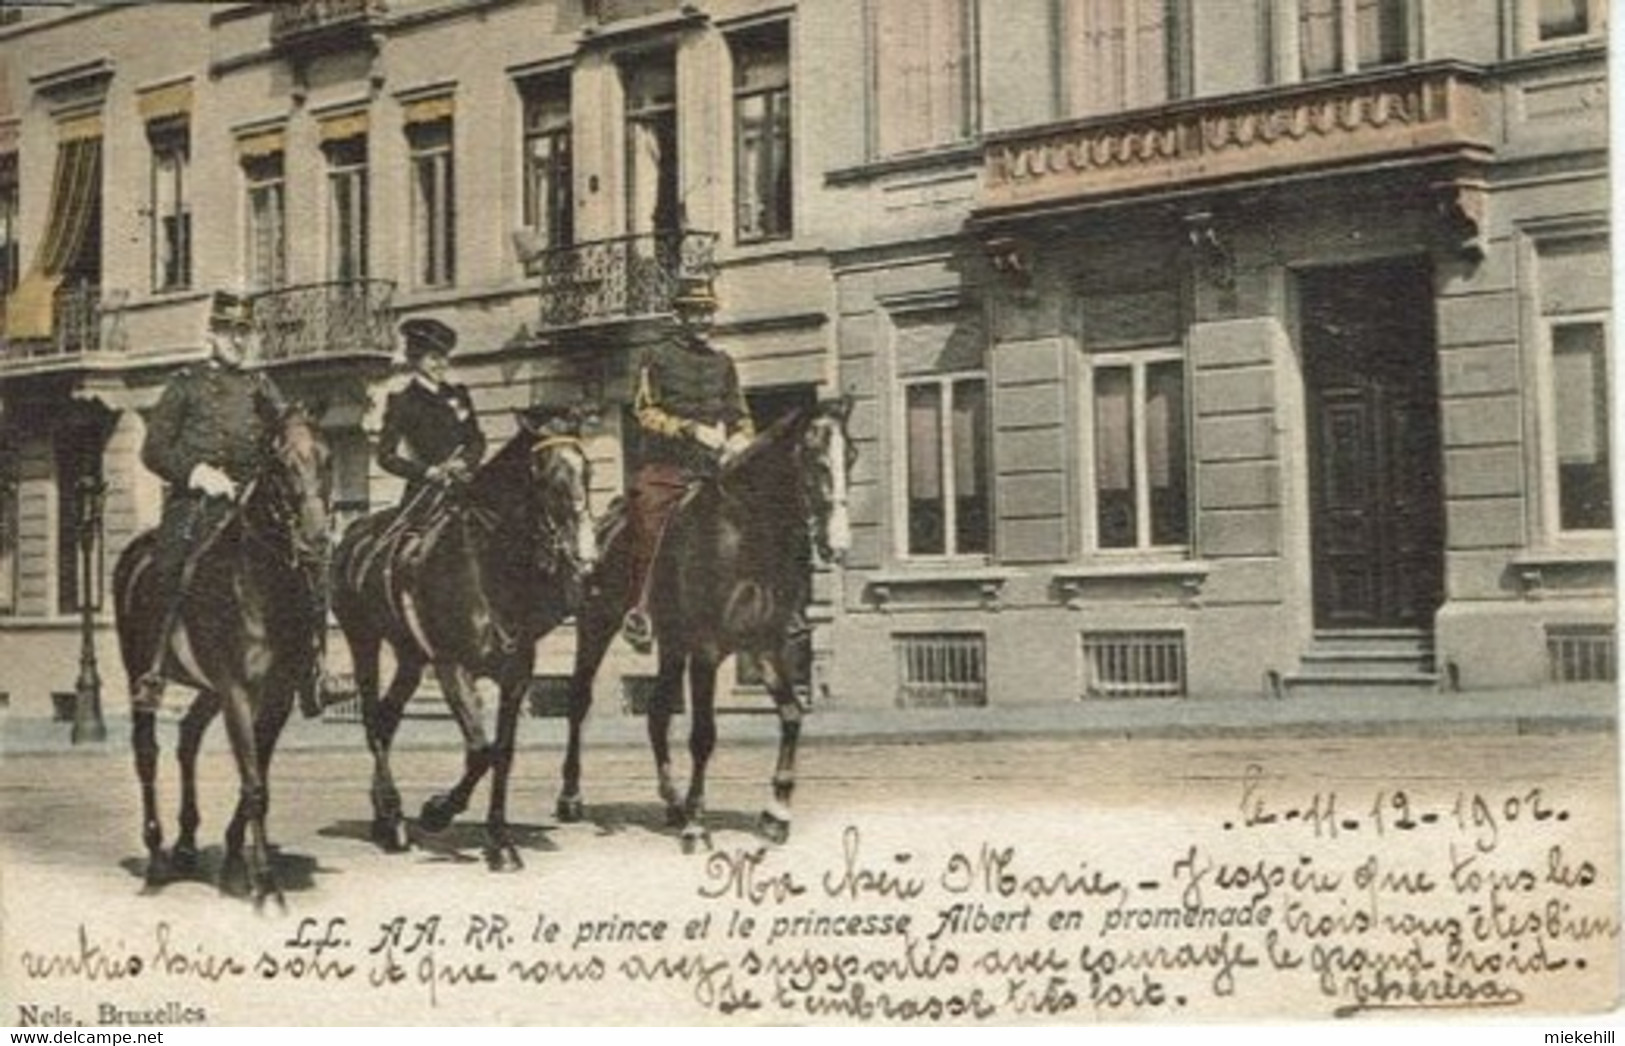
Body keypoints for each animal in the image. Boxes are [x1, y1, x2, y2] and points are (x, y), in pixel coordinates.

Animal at [112, 409, 331, 909]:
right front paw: (267, 886)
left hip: (208, 690)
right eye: (281, 463)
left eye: (328, 457)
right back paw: (156, 860)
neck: (260, 582)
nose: (316, 540)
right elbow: (253, 786)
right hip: (140, 671)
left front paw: (234, 867)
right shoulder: (237, 694)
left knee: (188, 737)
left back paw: (187, 845)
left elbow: (257, 782)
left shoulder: (276, 697)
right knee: (146, 752)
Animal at [333, 404, 601, 870]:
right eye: (544, 476)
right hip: (362, 638)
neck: (489, 569)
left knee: (386, 718)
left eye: (587, 470)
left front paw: (500, 841)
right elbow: (481, 750)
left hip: (409, 656)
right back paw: (394, 817)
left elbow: (502, 752)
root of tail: (354, 533)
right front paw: (438, 811)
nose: (584, 557)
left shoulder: (516, 674)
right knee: (371, 719)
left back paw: (384, 816)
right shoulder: (452, 667)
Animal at [559, 401, 858, 851]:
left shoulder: (764, 646)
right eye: (814, 457)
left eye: (851, 457)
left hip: (670, 644)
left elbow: (791, 715)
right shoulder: (706, 651)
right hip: (596, 627)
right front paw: (698, 825)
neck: (745, 535)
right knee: (579, 702)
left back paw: (672, 802)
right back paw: (571, 796)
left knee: (657, 712)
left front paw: (776, 813)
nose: (837, 543)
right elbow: (703, 735)